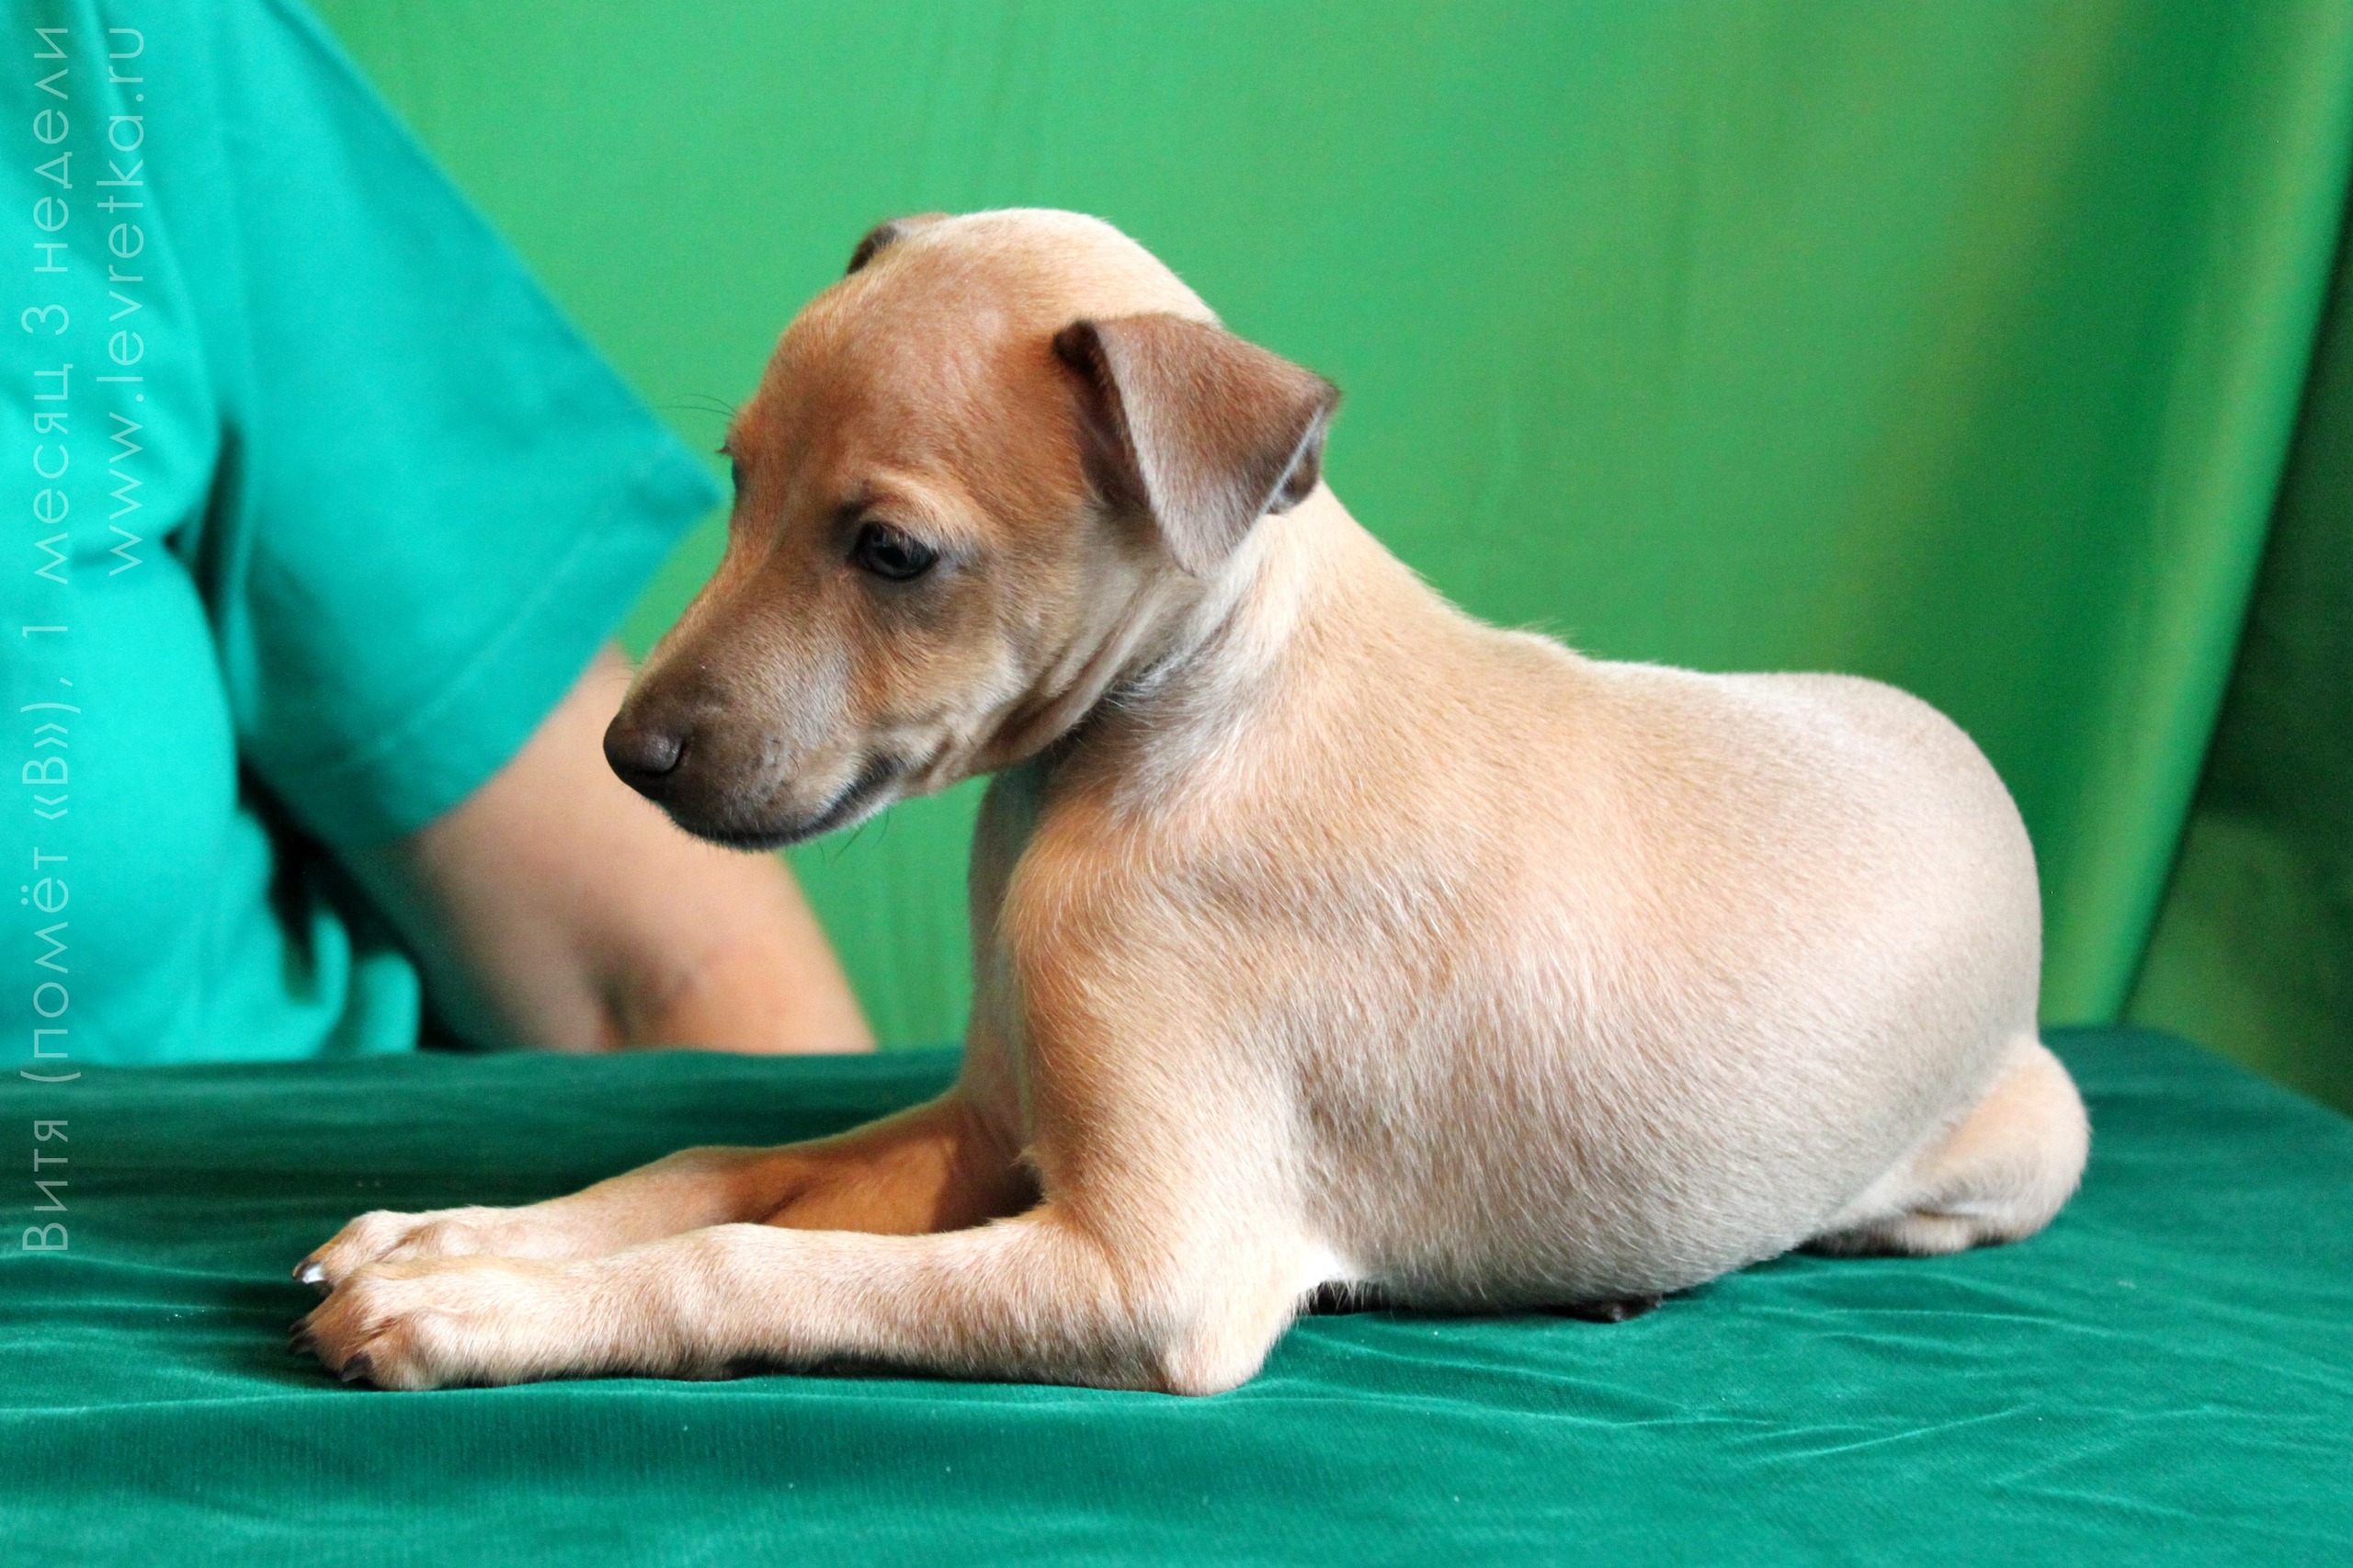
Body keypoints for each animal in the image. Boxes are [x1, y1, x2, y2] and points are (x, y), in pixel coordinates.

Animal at [293, 209, 2088, 1393]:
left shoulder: (1151, 1271)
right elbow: (714, 1161)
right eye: (737, 479)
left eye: (893, 553)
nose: (628, 755)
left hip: (2022, 1135)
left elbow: (760, 1254)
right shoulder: (985, 1126)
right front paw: (460, 1237)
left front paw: (482, 1310)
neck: (1182, 714)